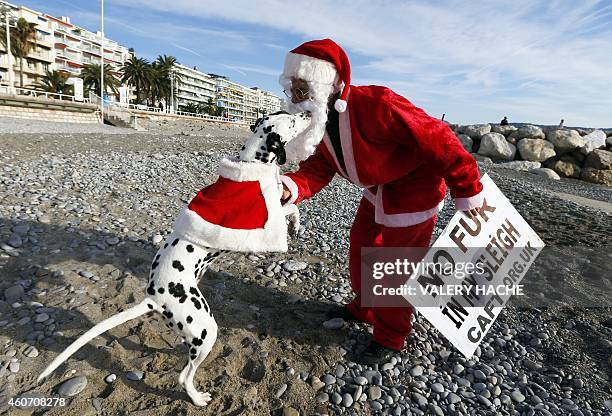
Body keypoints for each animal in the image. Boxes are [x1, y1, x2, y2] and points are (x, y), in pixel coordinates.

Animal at [38, 110, 310, 406]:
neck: (252, 164)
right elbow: (290, 210)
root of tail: (154, 299)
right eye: (292, 120)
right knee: (184, 376)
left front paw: (296, 224)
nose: (308, 112)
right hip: (206, 329)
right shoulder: (264, 221)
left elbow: (291, 206)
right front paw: (295, 225)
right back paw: (197, 397)